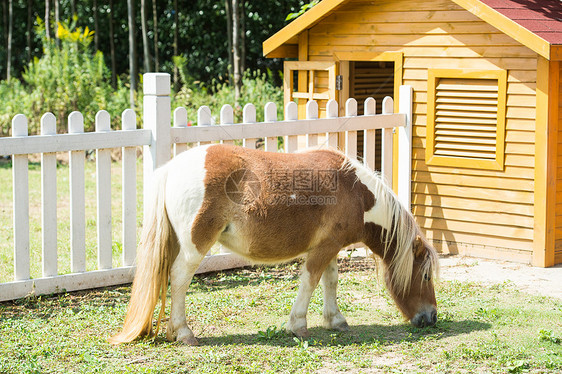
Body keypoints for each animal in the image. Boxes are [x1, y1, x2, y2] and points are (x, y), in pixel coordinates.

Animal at [108, 143, 438, 344]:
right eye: (425, 275)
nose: (431, 317)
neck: (355, 191)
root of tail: (172, 168)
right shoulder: (321, 251)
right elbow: (310, 282)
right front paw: (298, 324)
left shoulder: (331, 247)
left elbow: (330, 281)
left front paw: (335, 320)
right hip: (193, 248)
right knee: (178, 280)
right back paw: (184, 332)